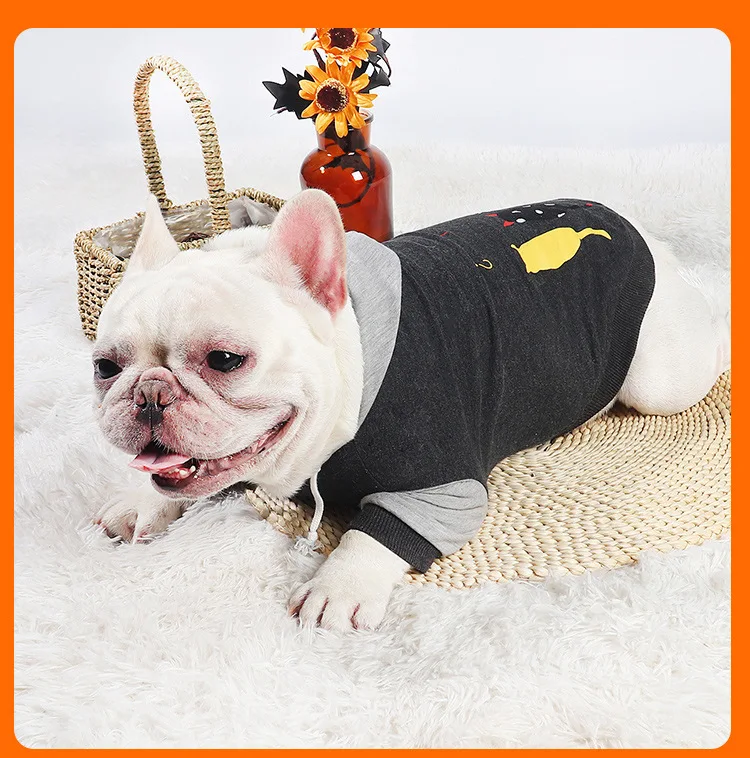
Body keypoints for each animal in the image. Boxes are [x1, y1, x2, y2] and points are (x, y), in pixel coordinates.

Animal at [93, 189, 730, 631]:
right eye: (104, 367)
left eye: (225, 359)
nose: (149, 394)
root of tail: (639, 231)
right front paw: (141, 500)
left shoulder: (445, 487)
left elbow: (376, 534)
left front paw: (340, 588)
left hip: (661, 378)